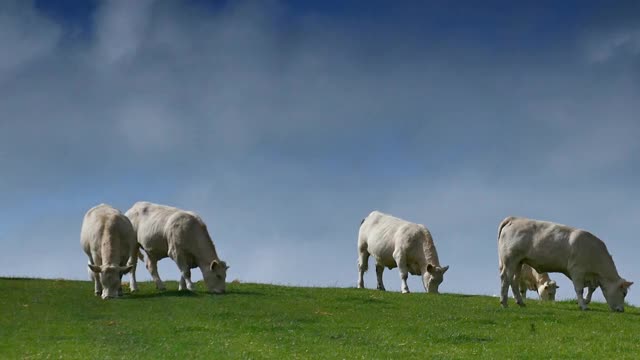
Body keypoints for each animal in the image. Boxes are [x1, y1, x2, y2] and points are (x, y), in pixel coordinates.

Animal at [498, 217, 632, 312]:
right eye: (624, 293)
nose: (621, 310)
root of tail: (515, 218)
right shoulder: (577, 270)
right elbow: (579, 289)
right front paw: (583, 306)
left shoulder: (591, 276)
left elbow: (591, 289)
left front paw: (585, 301)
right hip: (510, 259)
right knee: (506, 278)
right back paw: (504, 303)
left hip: (519, 262)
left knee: (514, 280)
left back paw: (520, 302)